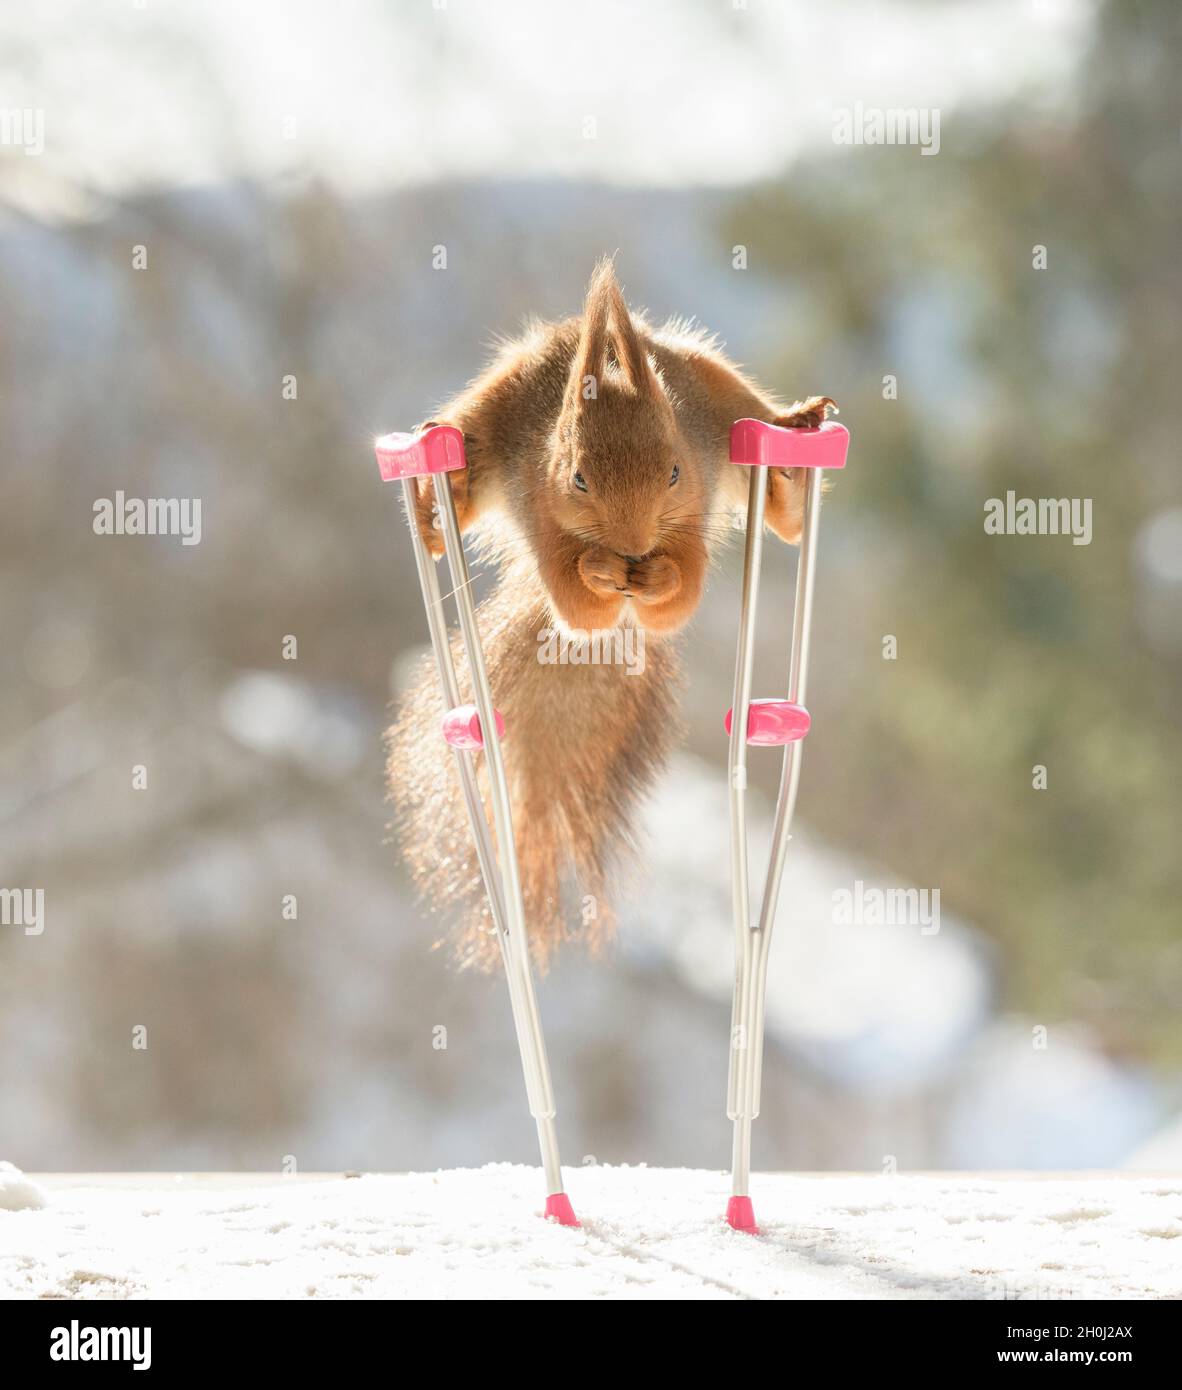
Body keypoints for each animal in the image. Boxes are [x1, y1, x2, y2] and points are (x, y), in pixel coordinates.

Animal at [387, 258, 836, 970]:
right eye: (577, 479)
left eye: (675, 471)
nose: (630, 549)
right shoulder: (541, 515)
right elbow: (580, 608)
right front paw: (598, 573)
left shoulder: (695, 504)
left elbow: (679, 598)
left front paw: (658, 578)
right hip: (495, 403)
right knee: (458, 467)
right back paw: (437, 492)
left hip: (714, 385)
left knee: (777, 491)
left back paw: (794, 443)